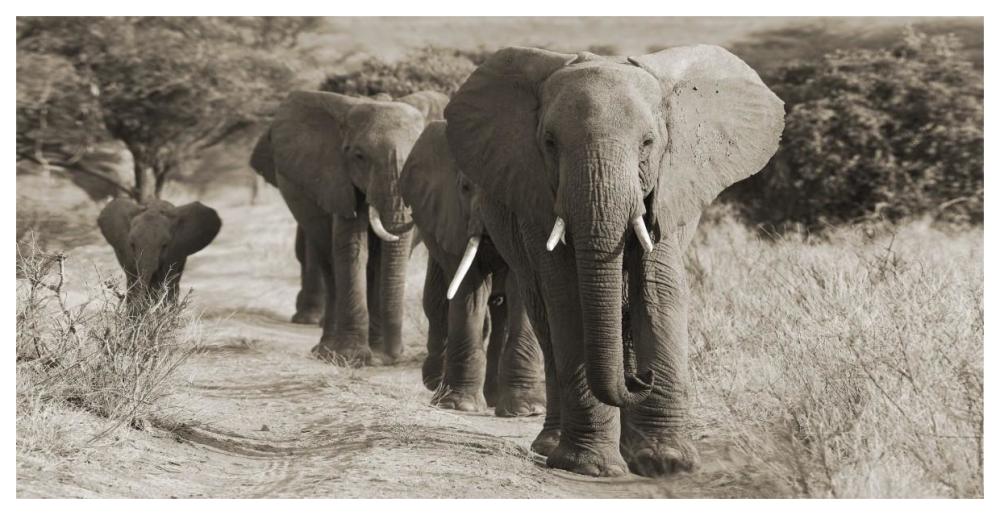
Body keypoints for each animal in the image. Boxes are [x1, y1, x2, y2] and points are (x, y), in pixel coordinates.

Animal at [250, 90, 449, 365]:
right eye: (359, 157)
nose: (394, 356)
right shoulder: (338, 180)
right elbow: (353, 248)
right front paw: (353, 357)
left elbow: (385, 257)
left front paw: (377, 356)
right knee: (330, 263)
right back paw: (325, 351)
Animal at [399, 121, 546, 416]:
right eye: (465, 188)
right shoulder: (451, 216)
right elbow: (468, 290)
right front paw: (459, 405)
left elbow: (520, 290)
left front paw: (527, 410)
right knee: (436, 302)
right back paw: (438, 384)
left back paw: (494, 398)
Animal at [444, 45, 784, 477]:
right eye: (550, 143)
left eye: (648, 143)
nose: (642, 378)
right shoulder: (536, 196)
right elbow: (568, 297)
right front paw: (591, 467)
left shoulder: (668, 190)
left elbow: (659, 289)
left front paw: (666, 463)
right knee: (545, 319)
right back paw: (553, 446)